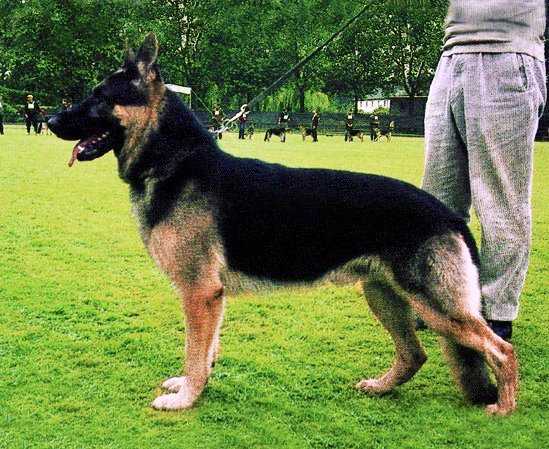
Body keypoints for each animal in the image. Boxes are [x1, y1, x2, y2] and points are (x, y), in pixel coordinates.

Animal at [48, 33, 520, 414]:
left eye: (99, 97)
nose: (50, 121)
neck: (173, 162)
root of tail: (450, 216)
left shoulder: (199, 294)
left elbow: (195, 352)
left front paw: (184, 399)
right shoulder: (212, 298)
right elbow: (207, 352)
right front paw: (192, 388)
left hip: (436, 306)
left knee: (502, 350)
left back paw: (504, 409)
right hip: (384, 295)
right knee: (414, 355)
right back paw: (381, 387)